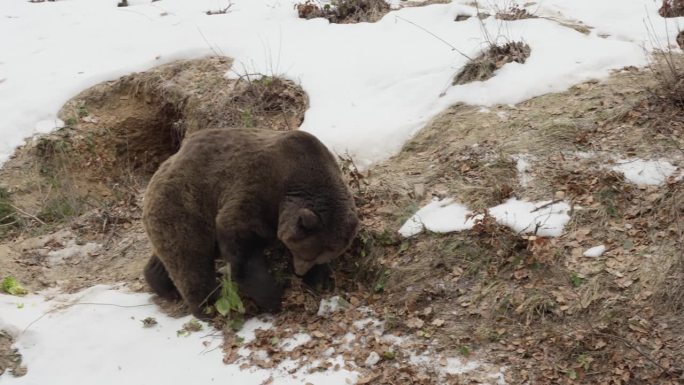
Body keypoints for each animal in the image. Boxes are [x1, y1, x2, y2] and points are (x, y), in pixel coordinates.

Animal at [142, 127, 360, 320]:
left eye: (315, 256)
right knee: (191, 259)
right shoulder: (259, 187)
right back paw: (207, 307)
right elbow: (241, 241)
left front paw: (317, 280)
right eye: (304, 252)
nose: (299, 271)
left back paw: (163, 285)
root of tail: (155, 176)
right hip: (185, 207)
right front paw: (274, 297)